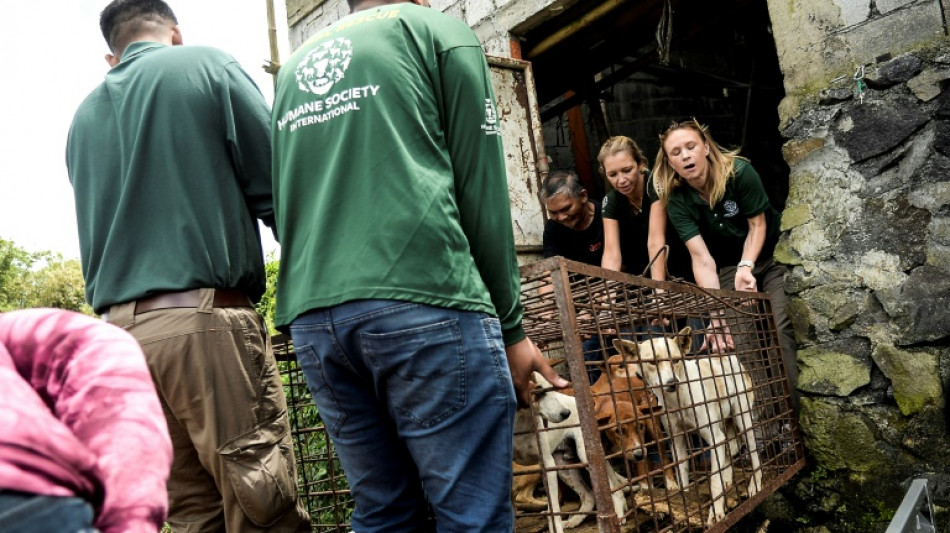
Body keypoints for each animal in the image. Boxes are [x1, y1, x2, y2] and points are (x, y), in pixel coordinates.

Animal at [516, 372, 628, 528]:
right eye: (538, 391)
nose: (565, 413)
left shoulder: (546, 465)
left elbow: (554, 509)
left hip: (585, 455)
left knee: (613, 492)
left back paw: (617, 515)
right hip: (563, 467)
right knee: (589, 496)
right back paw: (573, 521)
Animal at [616, 326, 768, 524]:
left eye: (675, 360)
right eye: (652, 362)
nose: (672, 382)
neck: (678, 399)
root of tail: (730, 358)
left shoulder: (714, 438)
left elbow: (714, 480)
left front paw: (716, 513)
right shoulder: (678, 441)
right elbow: (683, 477)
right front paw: (685, 507)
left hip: (743, 421)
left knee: (753, 454)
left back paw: (755, 484)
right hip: (723, 426)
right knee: (728, 452)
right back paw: (728, 480)